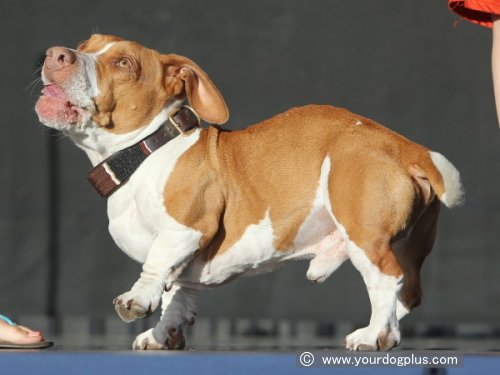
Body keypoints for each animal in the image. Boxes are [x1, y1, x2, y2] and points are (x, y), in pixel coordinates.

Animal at [35, 33, 464, 352]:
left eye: (123, 63)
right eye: (85, 44)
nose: (56, 54)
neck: (145, 151)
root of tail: (406, 147)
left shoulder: (185, 229)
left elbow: (156, 266)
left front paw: (137, 299)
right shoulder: (186, 258)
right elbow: (177, 293)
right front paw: (163, 333)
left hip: (365, 235)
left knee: (386, 280)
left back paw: (375, 334)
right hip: (409, 244)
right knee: (408, 292)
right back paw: (387, 328)